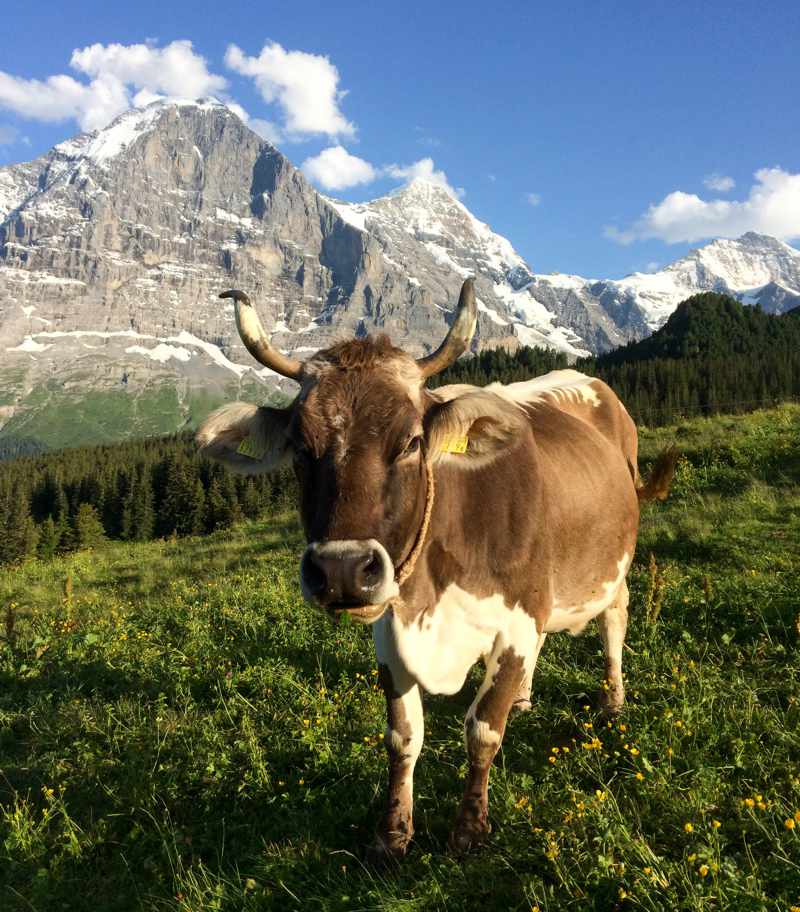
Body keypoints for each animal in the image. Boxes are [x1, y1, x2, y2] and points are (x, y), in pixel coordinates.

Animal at [195, 278, 676, 856]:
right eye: (302, 449)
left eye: (411, 442)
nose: (341, 571)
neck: (431, 600)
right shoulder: (389, 630)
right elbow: (403, 737)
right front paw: (393, 832)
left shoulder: (516, 619)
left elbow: (482, 730)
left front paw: (470, 828)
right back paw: (525, 696)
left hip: (612, 566)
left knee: (614, 621)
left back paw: (613, 699)